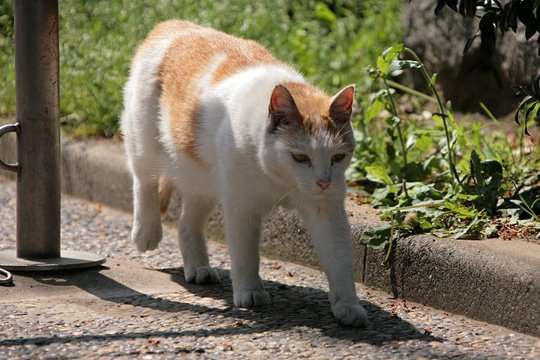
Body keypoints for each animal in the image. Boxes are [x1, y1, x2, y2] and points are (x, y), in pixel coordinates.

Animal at [121, 20, 368, 330]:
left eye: (338, 157)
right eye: (300, 157)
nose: (324, 181)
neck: (280, 179)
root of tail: (173, 24)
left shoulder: (326, 209)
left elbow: (339, 260)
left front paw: (348, 305)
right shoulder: (241, 207)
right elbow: (245, 255)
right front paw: (250, 293)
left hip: (204, 179)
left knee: (187, 224)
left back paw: (199, 268)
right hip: (145, 142)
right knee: (143, 179)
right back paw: (146, 232)